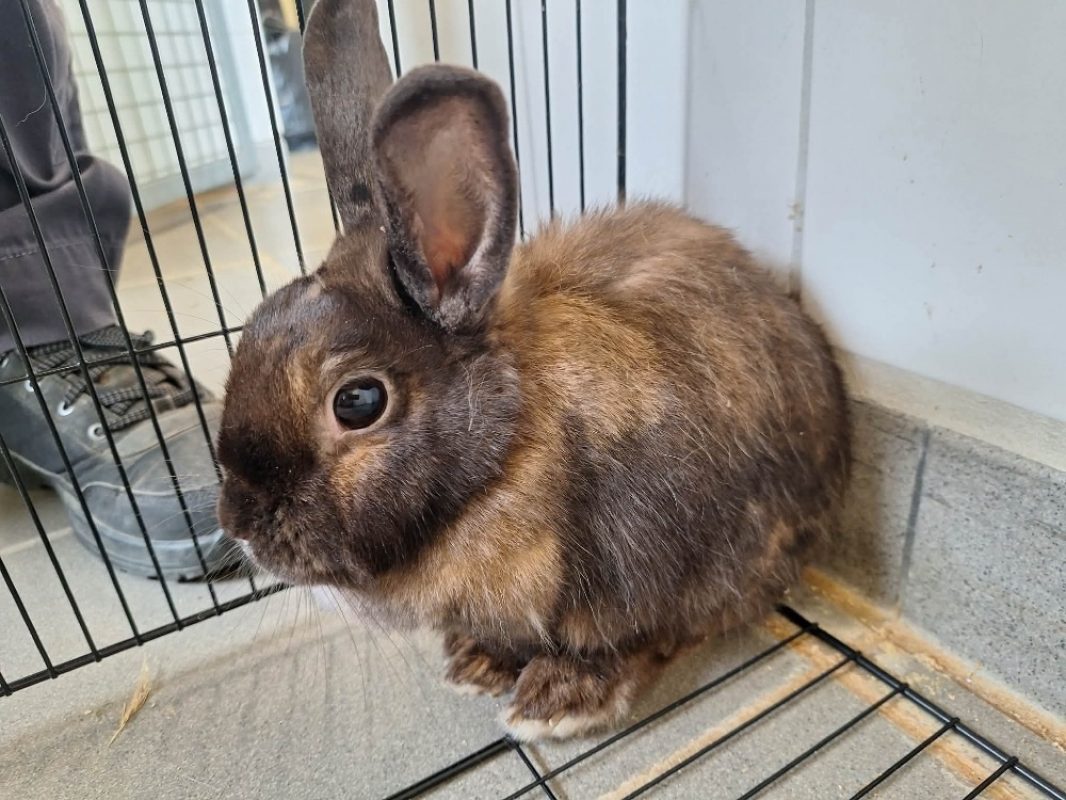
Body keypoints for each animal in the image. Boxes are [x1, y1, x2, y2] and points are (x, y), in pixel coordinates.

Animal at [216, 0, 850, 742]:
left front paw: (558, 701)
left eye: (358, 402)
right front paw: (476, 663)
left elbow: (634, 641)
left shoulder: (652, 576)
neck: (504, 461)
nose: (239, 524)